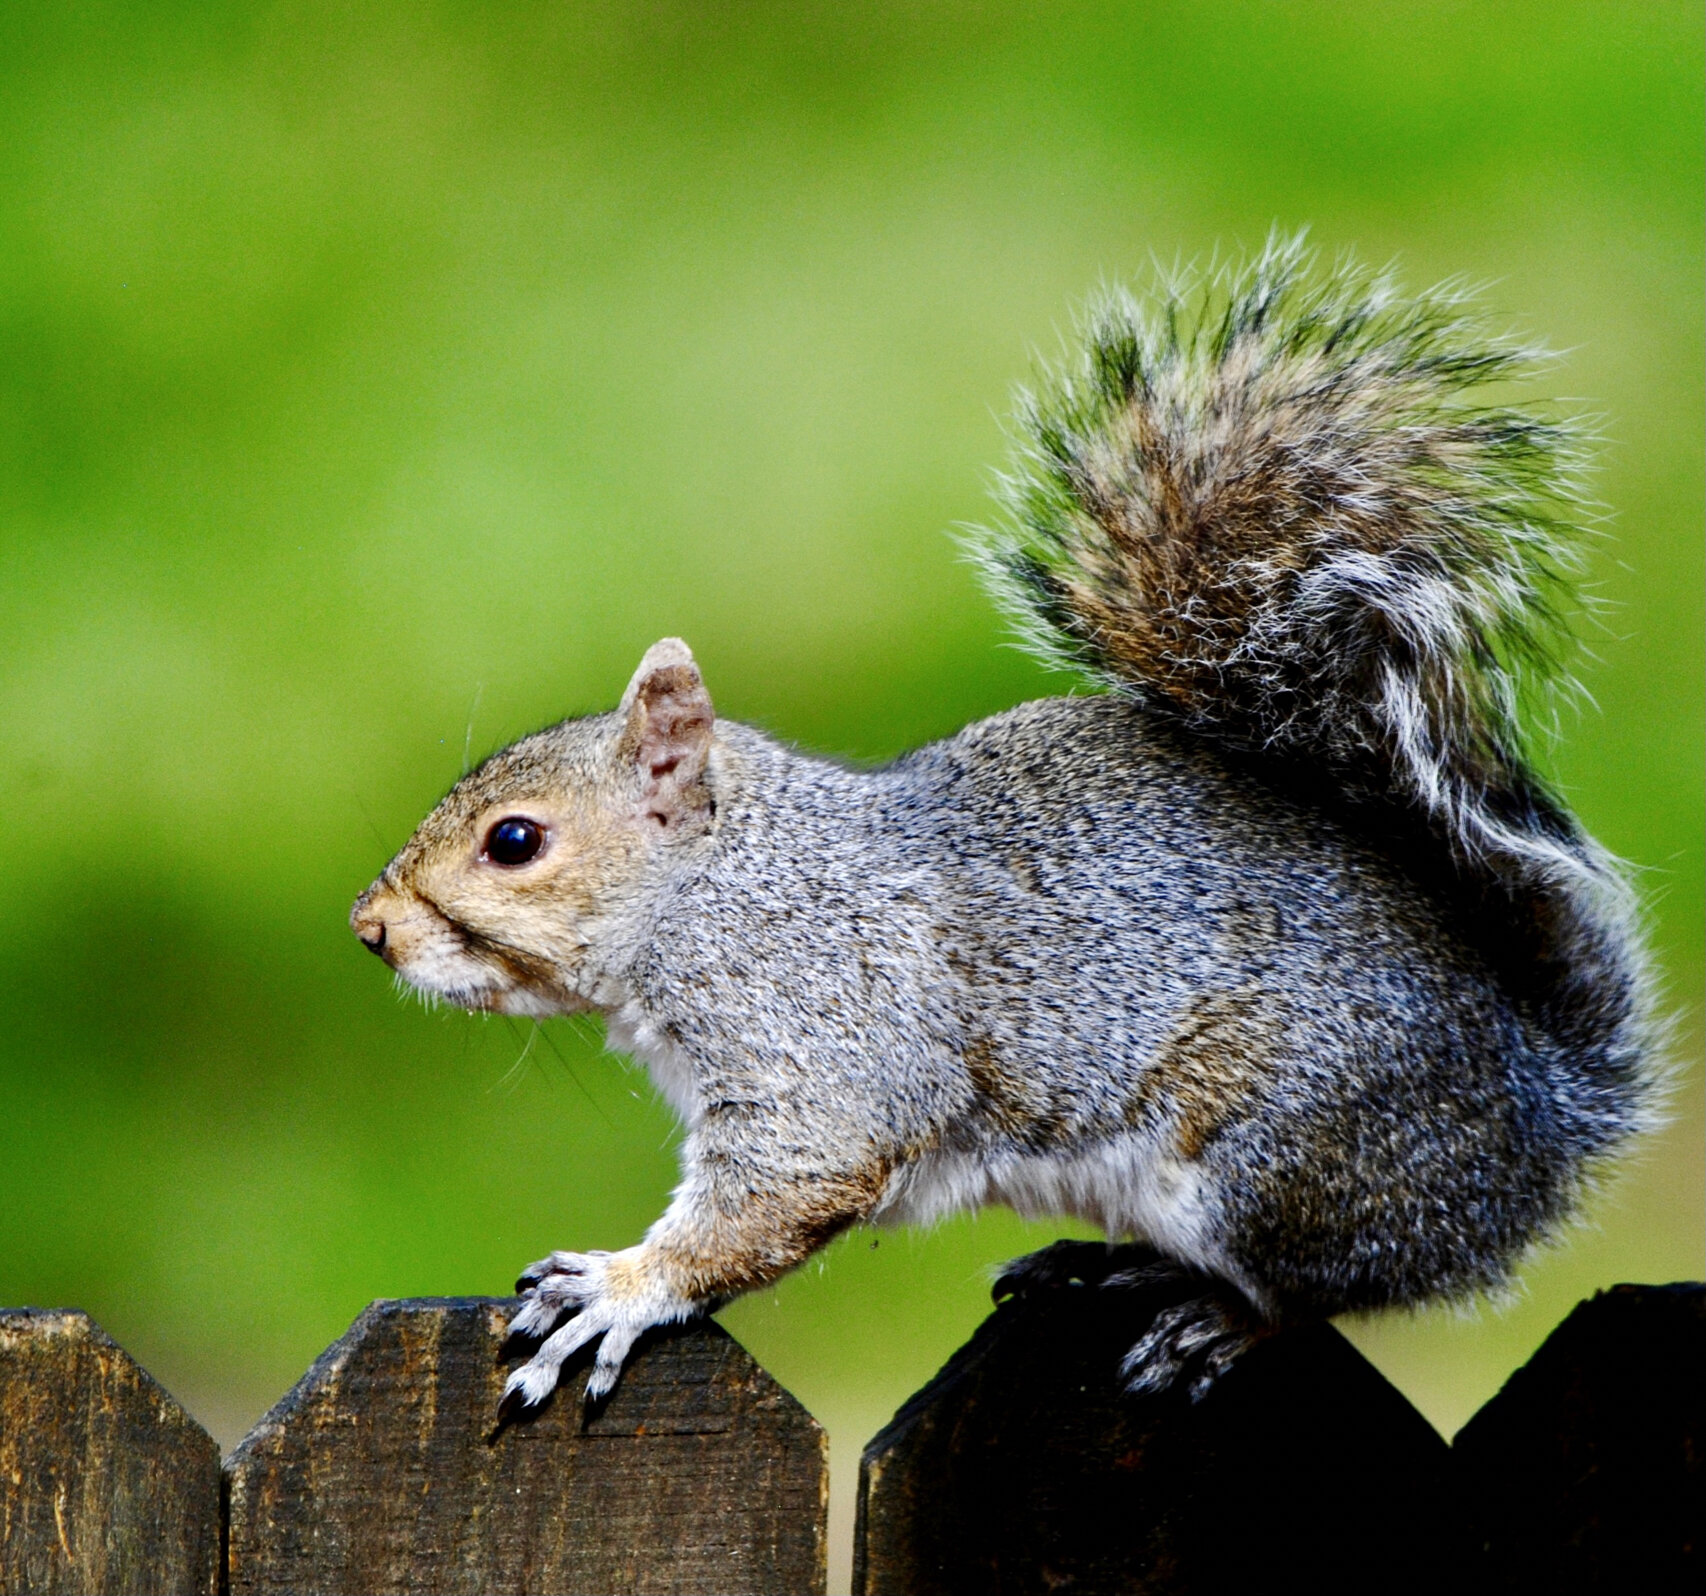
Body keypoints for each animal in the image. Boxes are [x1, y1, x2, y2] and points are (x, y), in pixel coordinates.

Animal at [346, 237, 1651, 1411]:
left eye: (515, 841)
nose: (369, 929)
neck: (728, 882)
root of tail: (1542, 1122)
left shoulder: (826, 1032)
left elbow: (775, 1194)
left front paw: (620, 1290)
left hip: (1274, 1160)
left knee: (1318, 1293)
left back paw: (1208, 1317)